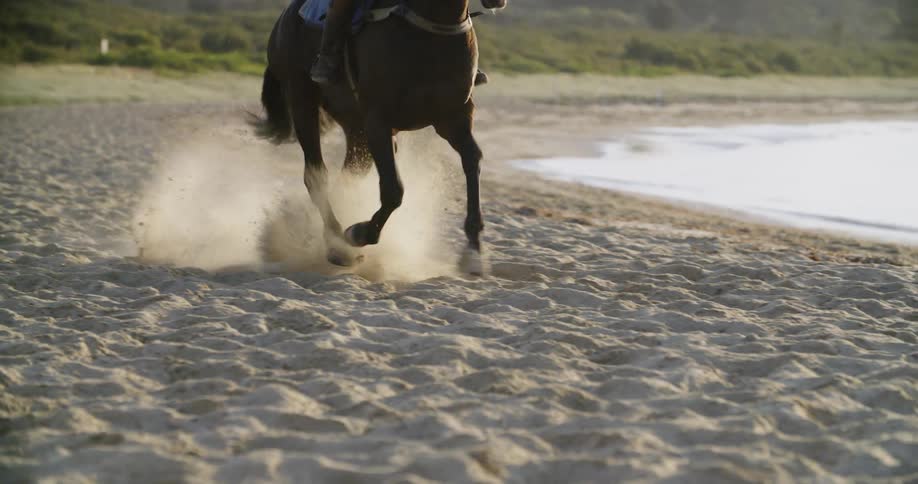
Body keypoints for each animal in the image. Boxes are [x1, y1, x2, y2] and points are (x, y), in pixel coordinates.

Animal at [250, 0, 507, 275]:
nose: (497, 2)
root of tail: (285, 18)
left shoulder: (454, 119)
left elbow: (472, 161)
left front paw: (473, 250)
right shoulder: (378, 121)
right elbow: (394, 190)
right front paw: (360, 233)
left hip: (356, 130)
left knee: (348, 176)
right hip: (302, 101)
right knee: (315, 175)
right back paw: (337, 245)